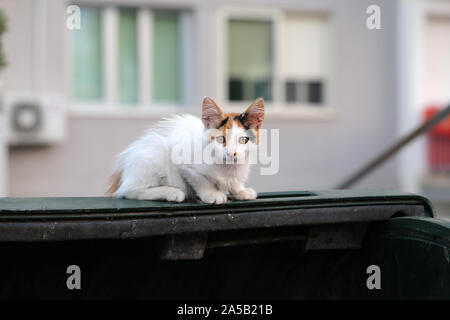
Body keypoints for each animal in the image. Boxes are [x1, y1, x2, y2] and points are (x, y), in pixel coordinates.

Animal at [107, 96, 264, 204]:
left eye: (243, 140)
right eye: (221, 139)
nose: (232, 153)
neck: (228, 167)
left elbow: (235, 183)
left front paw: (240, 191)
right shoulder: (183, 163)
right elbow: (201, 180)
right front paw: (211, 194)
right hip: (154, 155)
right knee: (129, 191)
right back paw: (171, 192)